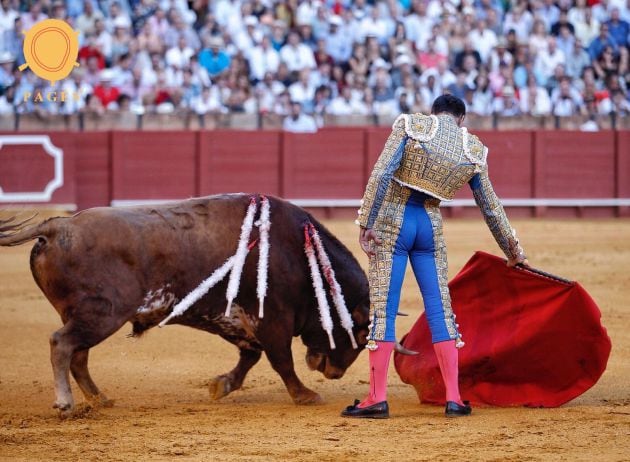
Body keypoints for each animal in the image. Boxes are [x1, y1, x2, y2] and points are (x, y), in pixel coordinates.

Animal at [0, 194, 372, 416]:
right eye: (359, 335)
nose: (335, 373)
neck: (300, 256)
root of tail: (58, 225)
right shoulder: (272, 321)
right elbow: (282, 361)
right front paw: (305, 395)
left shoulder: (238, 321)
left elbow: (249, 358)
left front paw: (220, 385)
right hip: (101, 314)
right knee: (61, 344)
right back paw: (65, 403)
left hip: (86, 316)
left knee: (78, 356)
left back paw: (100, 399)